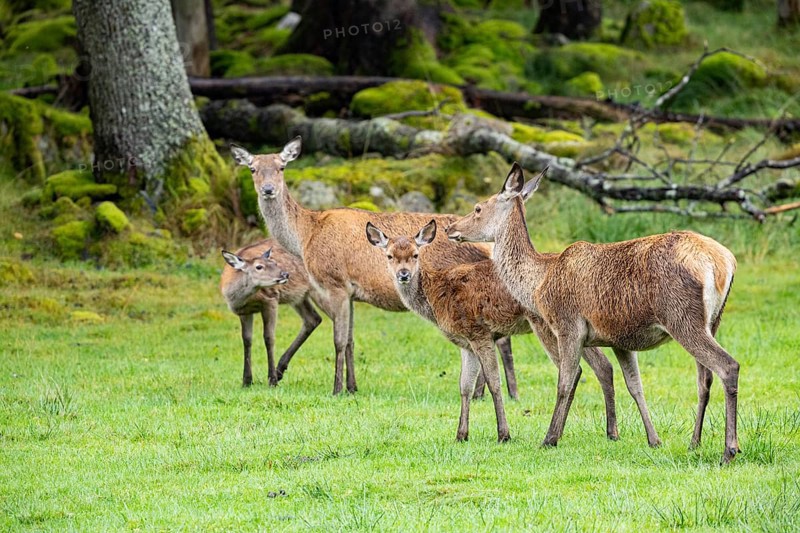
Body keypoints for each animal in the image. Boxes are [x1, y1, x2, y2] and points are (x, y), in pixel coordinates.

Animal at [220, 239, 322, 387]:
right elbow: (247, 339)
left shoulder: (271, 300)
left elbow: (269, 338)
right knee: (313, 319)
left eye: (274, 263)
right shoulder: (244, 311)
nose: (285, 274)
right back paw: (280, 369)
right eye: (259, 267)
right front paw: (246, 381)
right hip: (298, 296)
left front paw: (272, 380)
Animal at [367, 219, 630, 443]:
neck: (437, 298)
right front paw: (461, 435)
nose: (403, 275)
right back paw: (609, 432)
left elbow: (493, 381)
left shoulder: (479, 332)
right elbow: (464, 386)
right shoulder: (465, 342)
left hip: (549, 325)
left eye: (415, 254)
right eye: (389, 255)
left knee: (576, 370)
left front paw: (503, 434)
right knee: (603, 365)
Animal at [445, 162, 740, 464]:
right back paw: (694, 442)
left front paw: (549, 438)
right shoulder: (622, 339)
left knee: (728, 366)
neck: (538, 282)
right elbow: (635, 385)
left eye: (478, 208)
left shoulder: (568, 325)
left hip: (682, 316)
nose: (450, 227)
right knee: (704, 378)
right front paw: (653, 439)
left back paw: (729, 450)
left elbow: (565, 382)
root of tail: (722, 263)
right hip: (712, 321)